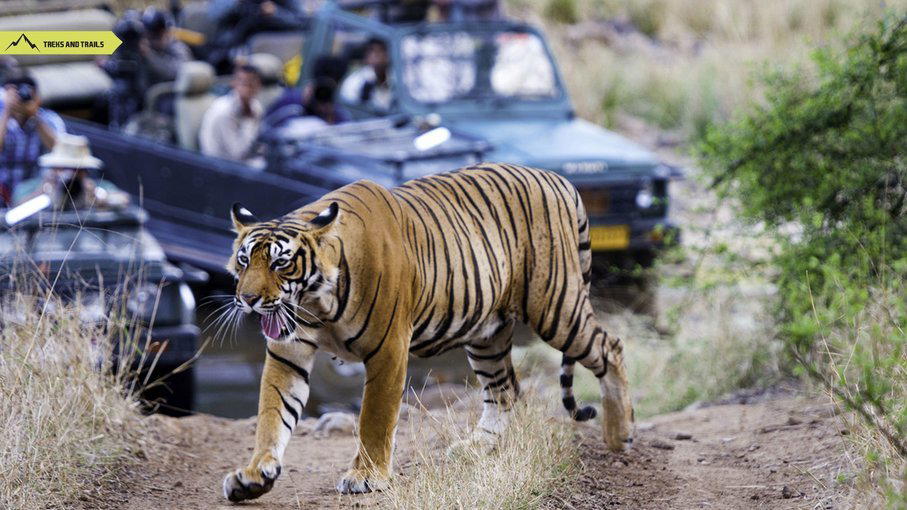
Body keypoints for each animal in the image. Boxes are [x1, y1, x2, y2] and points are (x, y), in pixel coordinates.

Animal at [222, 163, 634, 502]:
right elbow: (273, 413)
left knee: (610, 347)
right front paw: (254, 475)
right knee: (504, 390)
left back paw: (620, 435)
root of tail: (557, 178)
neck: (316, 301)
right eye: (244, 260)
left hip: (555, 305)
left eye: (280, 263)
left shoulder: (388, 349)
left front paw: (366, 476)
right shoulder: (287, 352)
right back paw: (474, 448)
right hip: (487, 333)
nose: (248, 299)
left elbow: (374, 417)